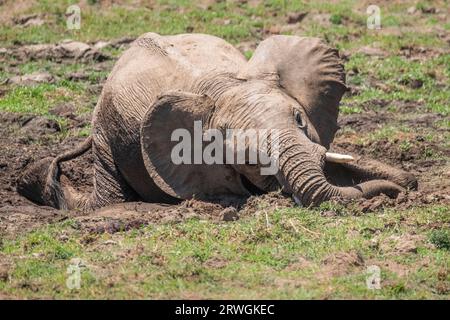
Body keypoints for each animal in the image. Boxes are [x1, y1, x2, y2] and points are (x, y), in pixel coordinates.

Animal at [17, 32, 418, 211]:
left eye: (301, 120)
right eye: (250, 158)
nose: (395, 195)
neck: (226, 84)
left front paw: (401, 181)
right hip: (106, 134)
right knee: (108, 199)